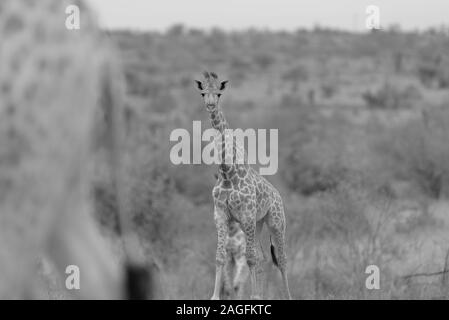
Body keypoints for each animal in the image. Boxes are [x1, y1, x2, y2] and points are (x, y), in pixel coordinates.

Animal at [195, 71, 292, 298]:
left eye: (219, 93)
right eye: (203, 93)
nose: (210, 105)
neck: (228, 172)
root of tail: (277, 195)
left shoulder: (246, 215)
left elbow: (250, 258)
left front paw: (253, 296)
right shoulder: (221, 215)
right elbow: (220, 256)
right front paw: (214, 296)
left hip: (275, 221)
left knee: (281, 259)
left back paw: (286, 296)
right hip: (257, 223)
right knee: (263, 256)